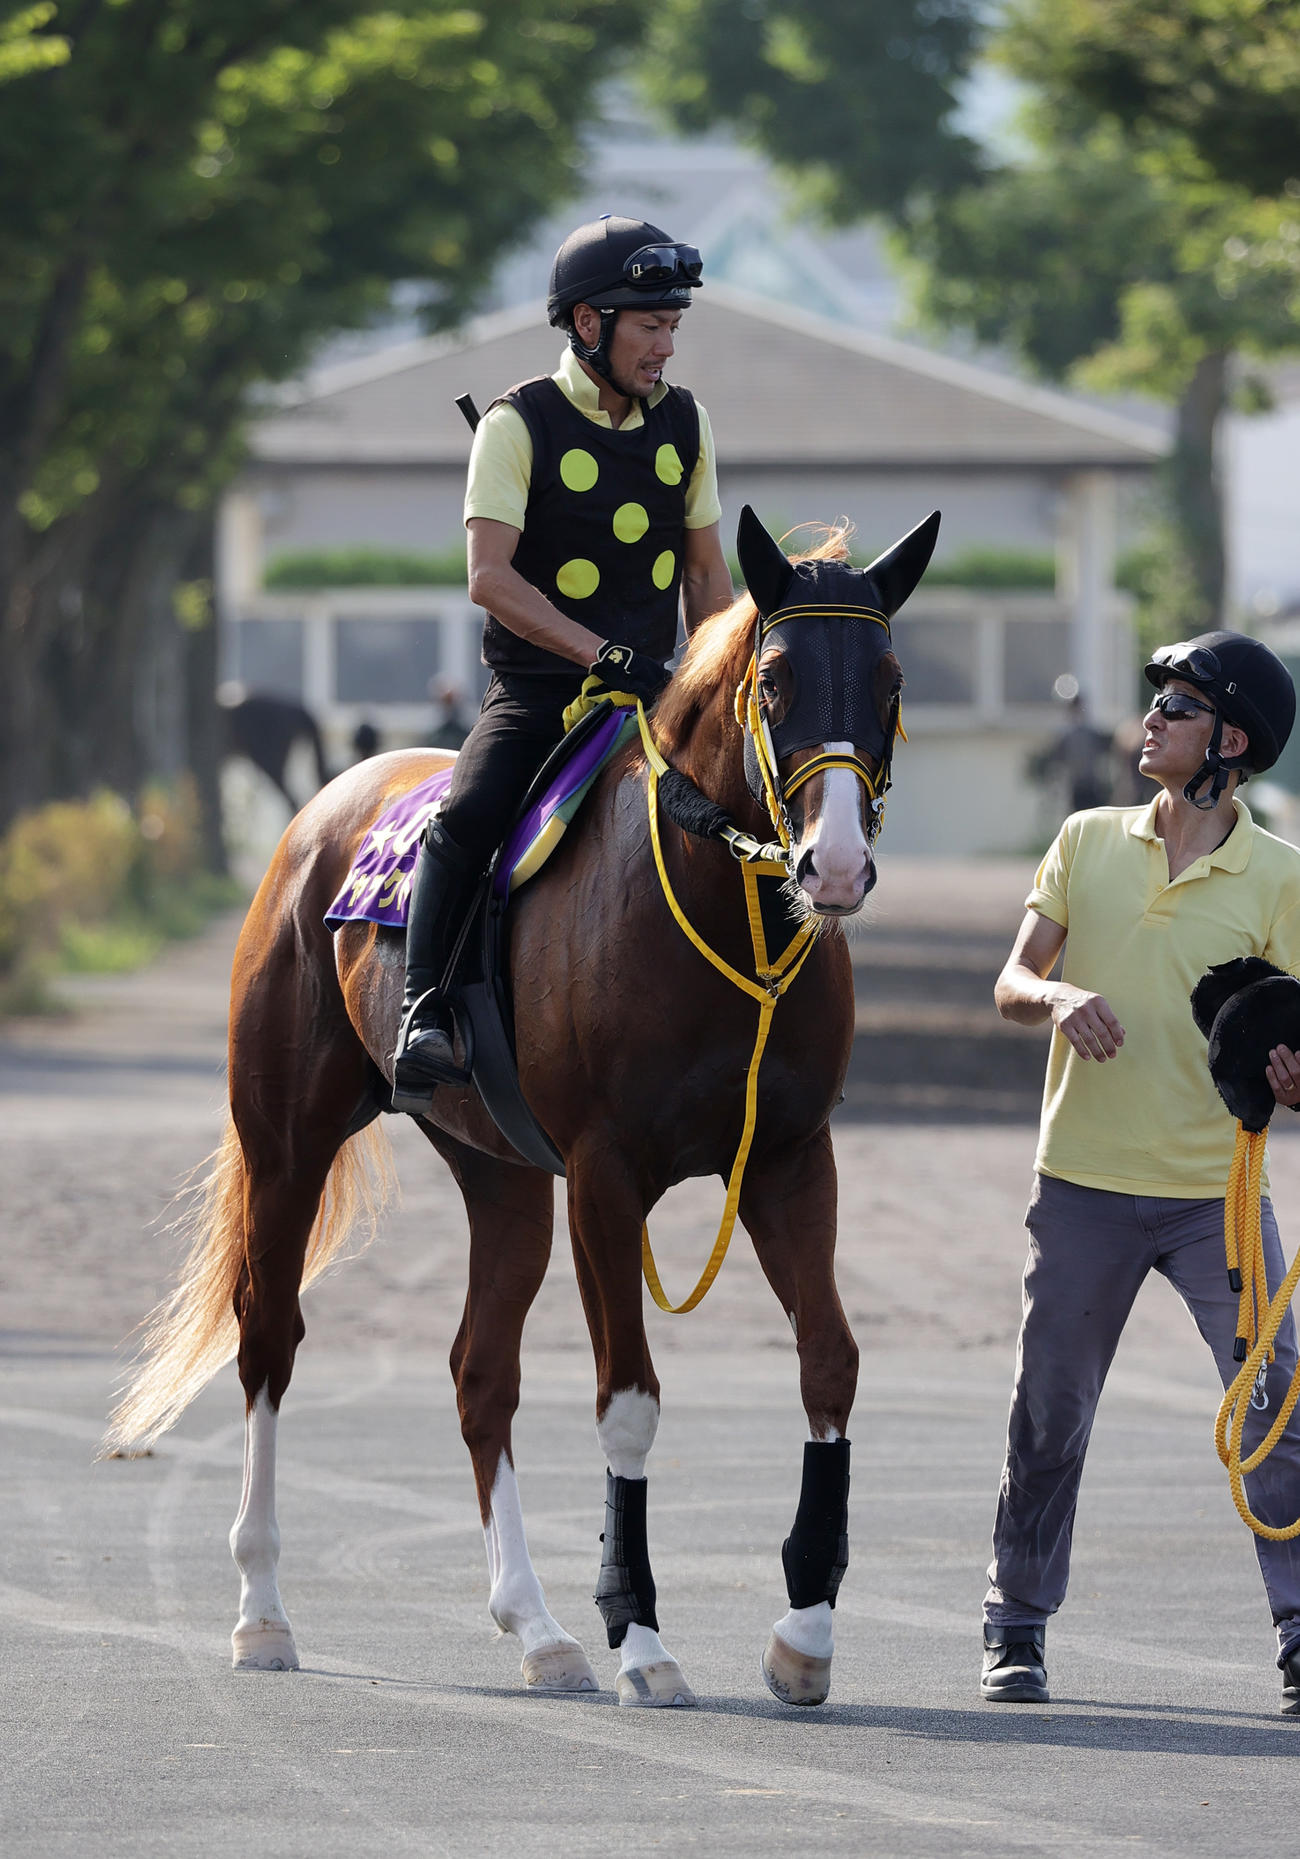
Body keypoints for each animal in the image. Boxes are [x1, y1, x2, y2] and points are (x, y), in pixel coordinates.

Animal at [107, 503, 939, 1709]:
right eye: (776, 678)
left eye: (888, 678)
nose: (832, 867)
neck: (712, 911)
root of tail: (323, 811)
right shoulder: (605, 1179)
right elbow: (627, 1399)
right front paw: (641, 1637)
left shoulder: (788, 1160)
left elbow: (830, 1362)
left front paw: (804, 1631)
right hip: (287, 1145)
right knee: (268, 1334)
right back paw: (263, 1610)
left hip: (499, 1176)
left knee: (478, 1373)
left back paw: (536, 1627)